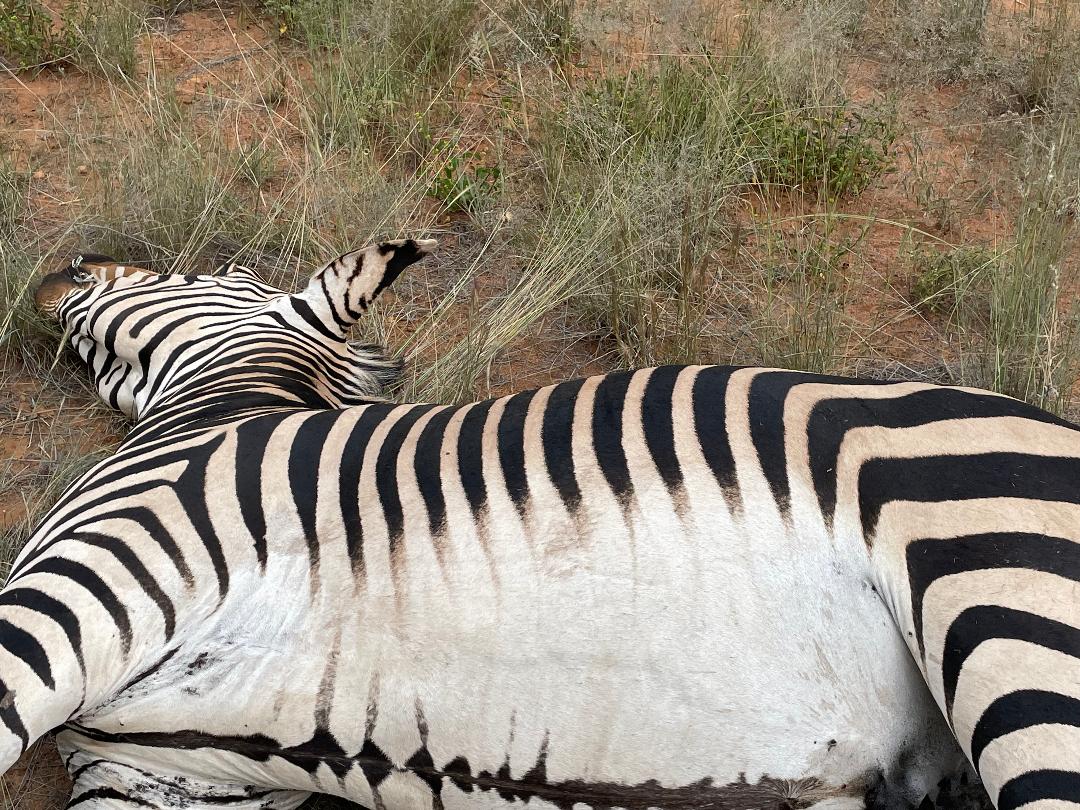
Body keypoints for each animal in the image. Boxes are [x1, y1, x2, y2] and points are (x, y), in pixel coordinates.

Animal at [2, 237, 1071, 810]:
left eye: (214, 272)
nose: (65, 266)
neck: (217, 410)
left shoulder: (111, 569)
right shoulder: (159, 779)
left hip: (1002, 612)